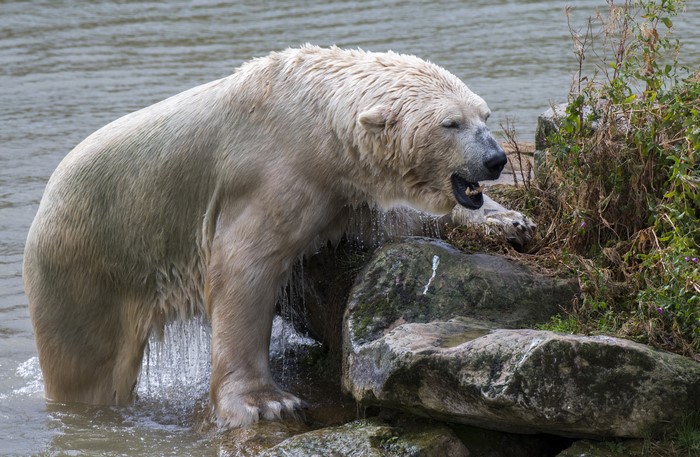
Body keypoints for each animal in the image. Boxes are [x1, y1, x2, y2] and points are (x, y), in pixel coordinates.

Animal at [23, 45, 532, 429]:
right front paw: (266, 403)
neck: (315, 116)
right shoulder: (272, 171)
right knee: (87, 368)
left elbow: (398, 218)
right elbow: (242, 269)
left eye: (484, 115)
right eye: (451, 123)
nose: (495, 159)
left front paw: (510, 221)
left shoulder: (342, 186)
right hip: (87, 269)